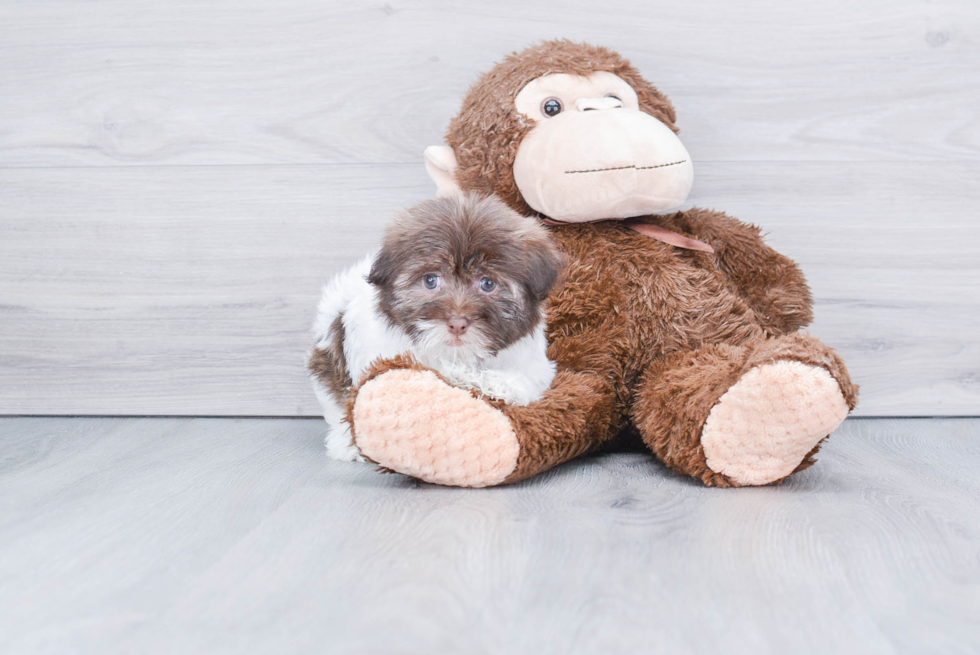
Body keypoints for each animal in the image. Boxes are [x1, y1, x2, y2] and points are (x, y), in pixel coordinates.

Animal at [310, 193, 564, 462]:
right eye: (430, 280)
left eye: (487, 283)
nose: (457, 323)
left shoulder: (533, 365)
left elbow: (521, 382)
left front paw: (488, 383)